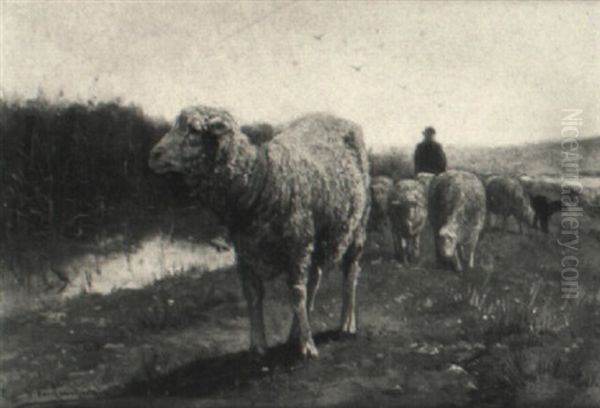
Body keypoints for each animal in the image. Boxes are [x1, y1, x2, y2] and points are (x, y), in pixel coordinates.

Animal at [148, 107, 368, 358]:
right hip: (319, 236)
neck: (259, 180)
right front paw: (258, 346)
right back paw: (295, 332)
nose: (153, 155)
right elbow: (253, 295)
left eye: (194, 129)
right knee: (315, 278)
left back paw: (346, 324)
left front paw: (307, 347)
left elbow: (296, 293)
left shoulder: (297, 246)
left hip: (356, 227)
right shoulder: (245, 252)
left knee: (350, 271)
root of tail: (332, 116)